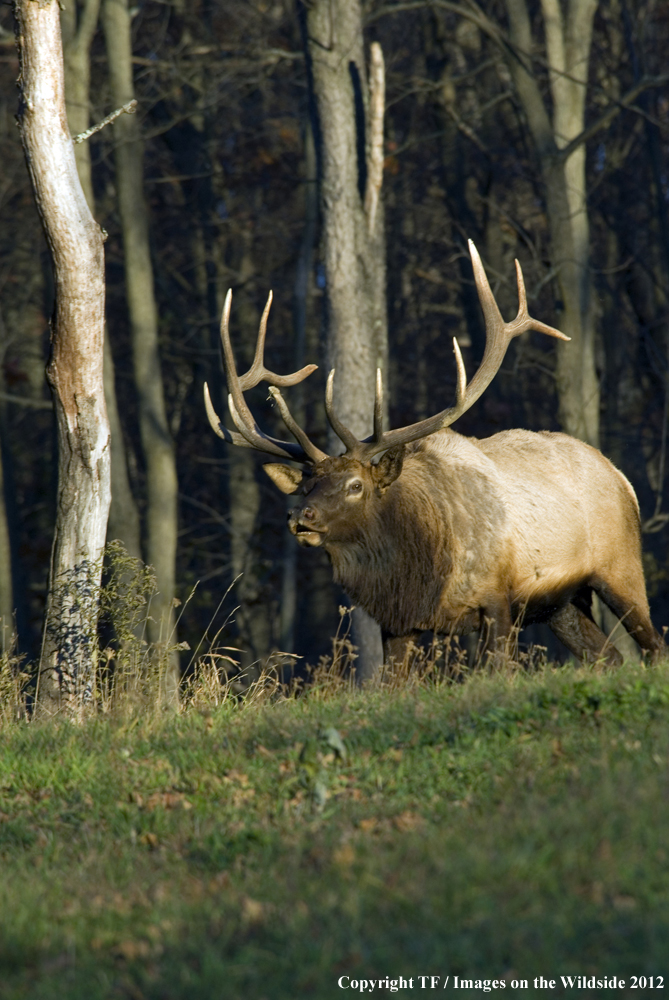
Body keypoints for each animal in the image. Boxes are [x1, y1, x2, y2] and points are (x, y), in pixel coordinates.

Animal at [206, 238, 664, 668]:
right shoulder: (396, 623)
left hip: (620, 568)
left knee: (655, 646)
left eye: (355, 485)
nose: (300, 517)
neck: (420, 575)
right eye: (306, 487)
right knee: (610, 657)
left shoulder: (498, 599)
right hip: (563, 603)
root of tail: (623, 479)